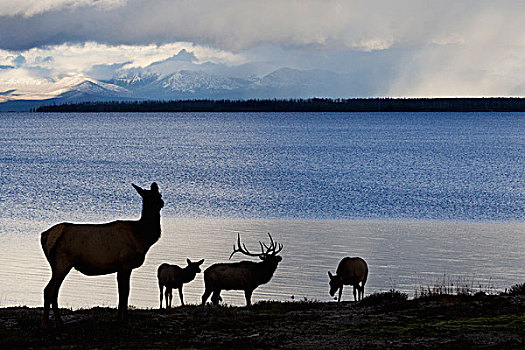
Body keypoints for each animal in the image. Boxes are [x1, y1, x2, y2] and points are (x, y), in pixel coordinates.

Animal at [40, 182, 163, 330]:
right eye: (147, 198)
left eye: (159, 194)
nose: (160, 203)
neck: (142, 237)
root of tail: (45, 236)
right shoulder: (126, 263)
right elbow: (126, 292)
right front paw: (127, 322)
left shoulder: (119, 267)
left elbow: (120, 292)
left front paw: (118, 320)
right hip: (62, 262)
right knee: (49, 290)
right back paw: (46, 324)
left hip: (58, 265)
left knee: (54, 291)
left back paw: (59, 322)